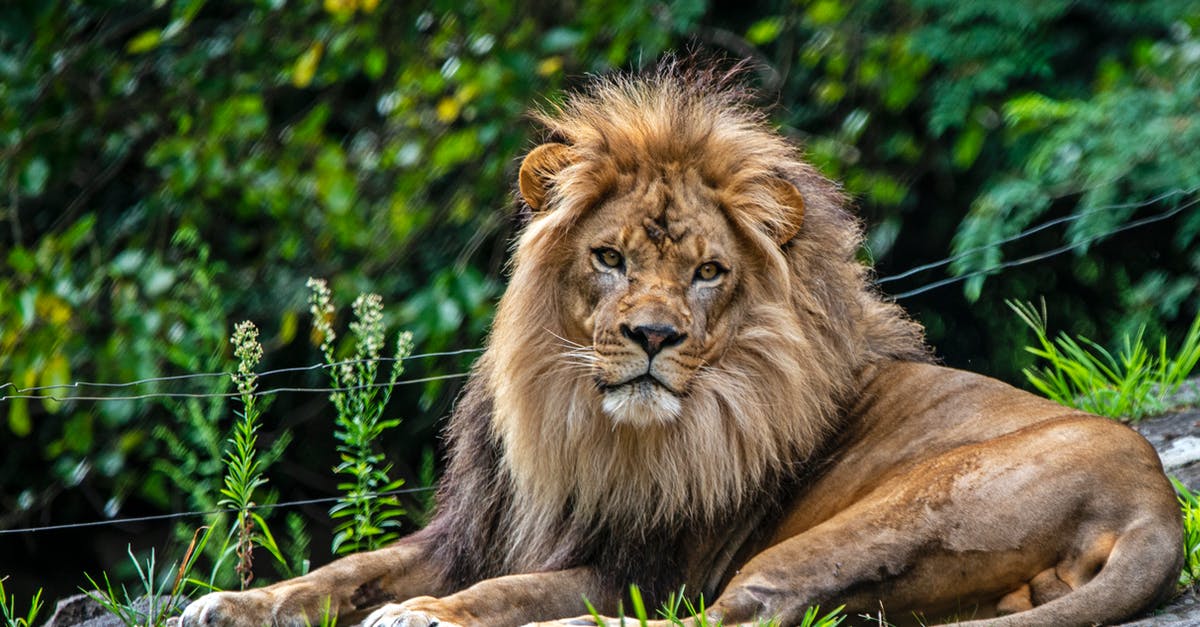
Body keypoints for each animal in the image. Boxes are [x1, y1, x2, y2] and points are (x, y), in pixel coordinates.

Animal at [179, 65, 1182, 627]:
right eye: (610, 257)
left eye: (706, 272)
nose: (653, 336)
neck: (578, 422)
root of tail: (1158, 505)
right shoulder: (482, 528)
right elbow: (347, 567)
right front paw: (229, 602)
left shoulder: (645, 565)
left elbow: (513, 592)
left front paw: (423, 614)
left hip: (876, 518)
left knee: (728, 614)